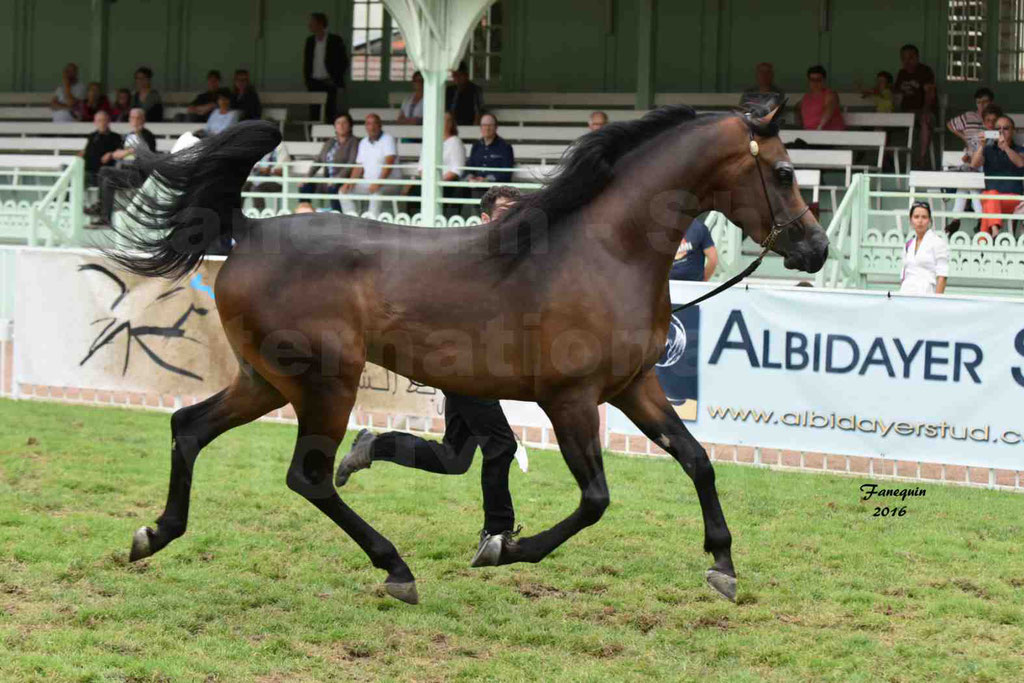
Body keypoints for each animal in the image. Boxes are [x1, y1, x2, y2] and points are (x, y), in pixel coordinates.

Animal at [108, 101, 831, 602]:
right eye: (785, 172)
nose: (816, 249)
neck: (605, 251)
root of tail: (249, 231)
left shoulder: (636, 387)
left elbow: (698, 459)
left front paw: (723, 564)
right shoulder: (571, 399)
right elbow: (595, 499)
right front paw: (505, 550)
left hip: (266, 381)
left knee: (189, 426)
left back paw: (153, 535)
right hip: (325, 383)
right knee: (307, 476)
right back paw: (396, 568)